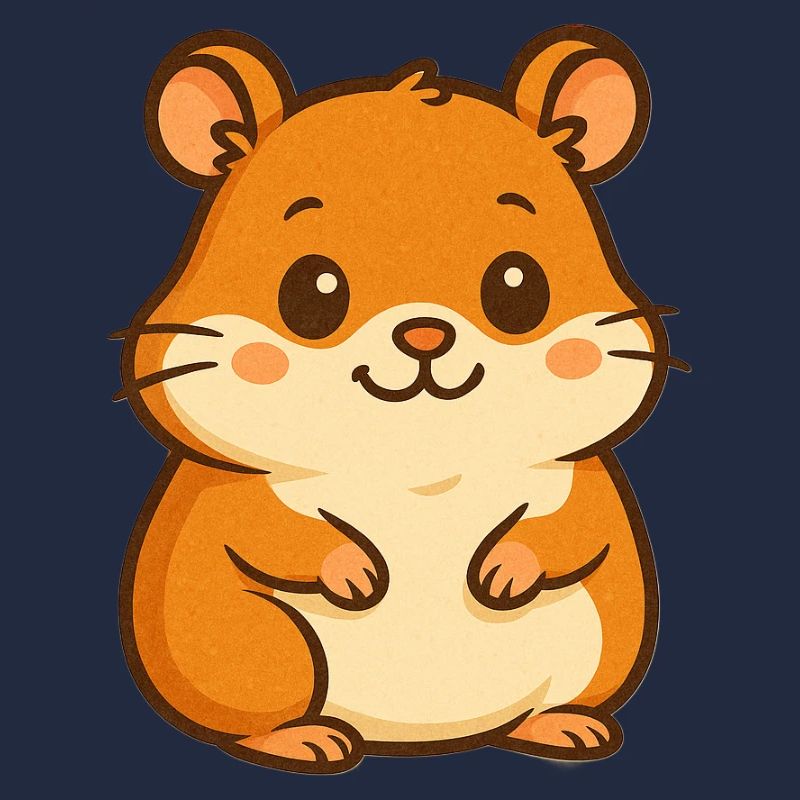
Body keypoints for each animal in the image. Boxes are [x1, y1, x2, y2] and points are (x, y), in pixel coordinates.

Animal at [115, 25, 686, 773]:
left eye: (519, 286)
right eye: (312, 290)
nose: (424, 334)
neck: (415, 460)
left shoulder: (581, 477)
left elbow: (574, 529)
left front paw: (504, 570)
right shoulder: (231, 490)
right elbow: (265, 529)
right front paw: (354, 571)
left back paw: (562, 727)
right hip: (263, 648)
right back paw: (304, 739)